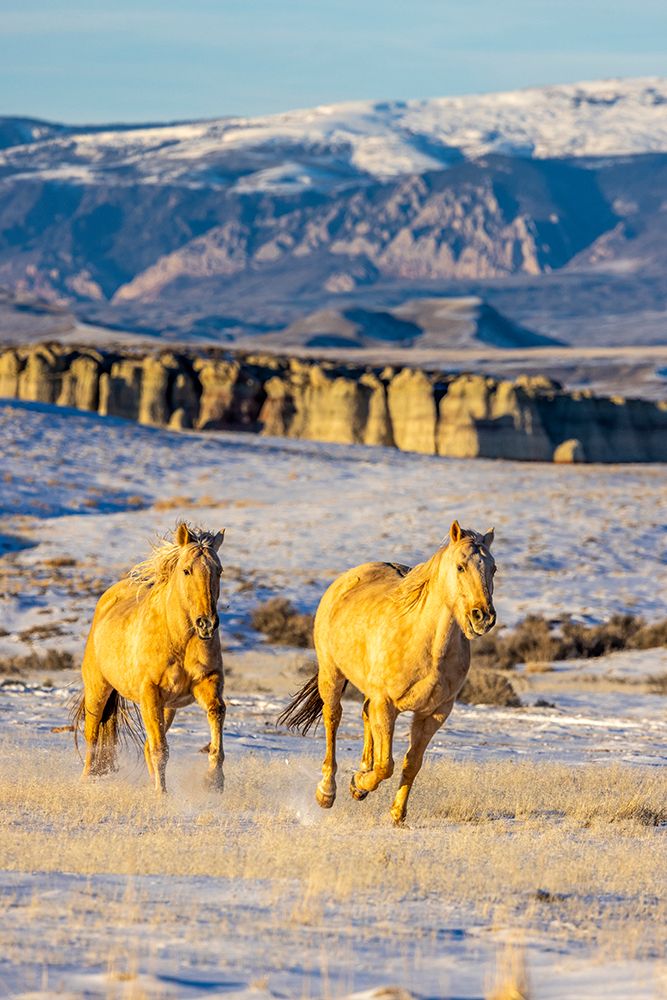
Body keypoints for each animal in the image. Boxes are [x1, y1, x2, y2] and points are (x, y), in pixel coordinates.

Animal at [72, 522, 226, 793]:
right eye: (186, 570)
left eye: (219, 571)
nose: (207, 624)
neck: (177, 639)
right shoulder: (150, 694)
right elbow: (160, 750)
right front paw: (161, 795)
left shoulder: (208, 683)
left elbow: (216, 715)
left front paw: (214, 782)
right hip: (98, 689)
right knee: (92, 736)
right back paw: (87, 780)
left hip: (167, 707)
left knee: (145, 745)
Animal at [278, 520, 497, 824]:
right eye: (460, 567)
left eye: (493, 568)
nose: (483, 617)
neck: (428, 647)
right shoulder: (387, 704)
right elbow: (386, 765)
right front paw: (359, 784)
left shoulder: (434, 713)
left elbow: (411, 763)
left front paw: (395, 812)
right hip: (331, 675)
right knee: (333, 719)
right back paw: (327, 792)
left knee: (365, 715)